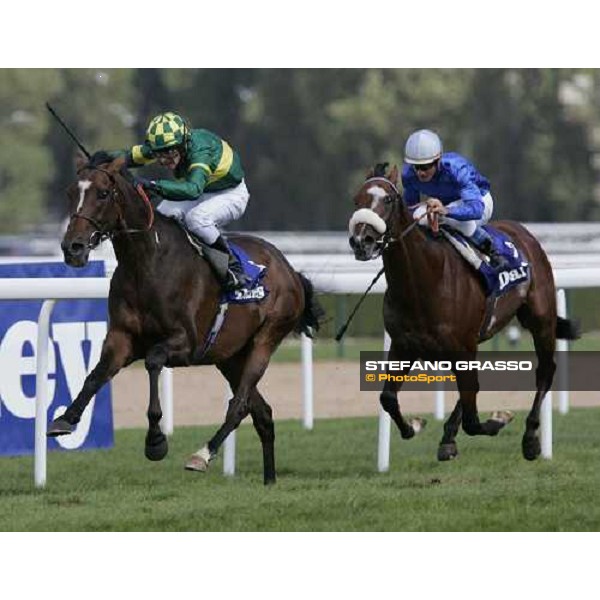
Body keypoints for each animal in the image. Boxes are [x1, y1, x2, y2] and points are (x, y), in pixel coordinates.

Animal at [48, 156, 324, 482]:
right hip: (230, 356)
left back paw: (203, 454)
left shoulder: (185, 343)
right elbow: (95, 375)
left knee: (239, 405)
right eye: (69, 193)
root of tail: (289, 269)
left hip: (266, 338)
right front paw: (66, 418)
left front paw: (156, 441)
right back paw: (269, 480)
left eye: (103, 193)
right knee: (262, 413)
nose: (72, 247)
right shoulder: (122, 338)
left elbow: (154, 361)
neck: (146, 262)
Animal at [350, 162, 580, 462]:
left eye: (388, 200)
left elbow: (473, 419)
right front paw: (415, 425)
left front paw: (499, 419)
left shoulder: (461, 346)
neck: (424, 280)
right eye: (356, 201)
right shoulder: (405, 344)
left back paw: (530, 439)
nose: (361, 240)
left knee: (545, 371)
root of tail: (524, 233)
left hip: (540, 319)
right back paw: (449, 437)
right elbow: (388, 398)